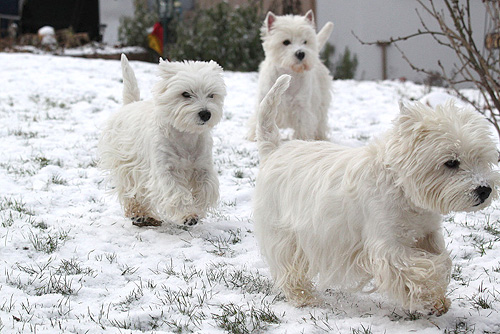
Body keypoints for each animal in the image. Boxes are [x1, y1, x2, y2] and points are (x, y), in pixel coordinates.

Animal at [98, 55, 226, 227]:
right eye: (186, 94)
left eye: (211, 95)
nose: (205, 114)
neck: (185, 136)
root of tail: (130, 104)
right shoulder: (163, 171)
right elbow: (175, 192)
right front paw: (188, 215)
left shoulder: (203, 167)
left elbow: (206, 189)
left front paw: (197, 209)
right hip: (126, 165)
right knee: (132, 192)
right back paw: (140, 215)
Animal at [246, 10, 332, 141]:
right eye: (286, 42)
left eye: (305, 41)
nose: (301, 53)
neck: (290, 73)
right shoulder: (264, 101)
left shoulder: (302, 107)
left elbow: (303, 125)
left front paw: (302, 139)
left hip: (321, 101)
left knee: (321, 120)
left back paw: (320, 137)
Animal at [254, 74, 500, 314]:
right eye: (451, 162)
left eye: (481, 159)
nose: (484, 190)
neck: (402, 188)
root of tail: (274, 149)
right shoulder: (386, 243)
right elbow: (422, 269)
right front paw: (428, 297)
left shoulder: (428, 233)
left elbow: (443, 259)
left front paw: (438, 299)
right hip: (285, 233)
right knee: (289, 267)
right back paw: (303, 298)